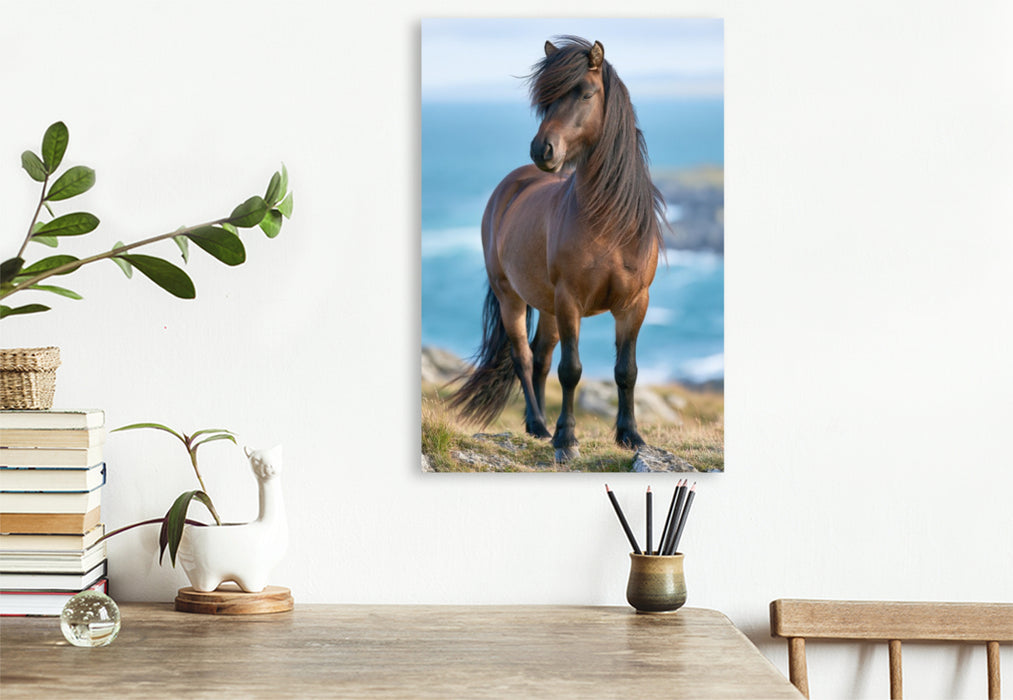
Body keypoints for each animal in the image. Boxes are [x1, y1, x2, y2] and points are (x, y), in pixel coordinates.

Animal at [450, 36, 666, 462]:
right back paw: (538, 425)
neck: (610, 223)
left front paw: (630, 435)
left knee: (541, 356)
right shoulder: (570, 301)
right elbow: (571, 371)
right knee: (523, 356)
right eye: (546, 101)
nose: (542, 150)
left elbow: (626, 371)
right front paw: (567, 440)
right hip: (512, 297)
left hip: (546, 305)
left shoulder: (634, 303)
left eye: (586, 93)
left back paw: (537, 428)